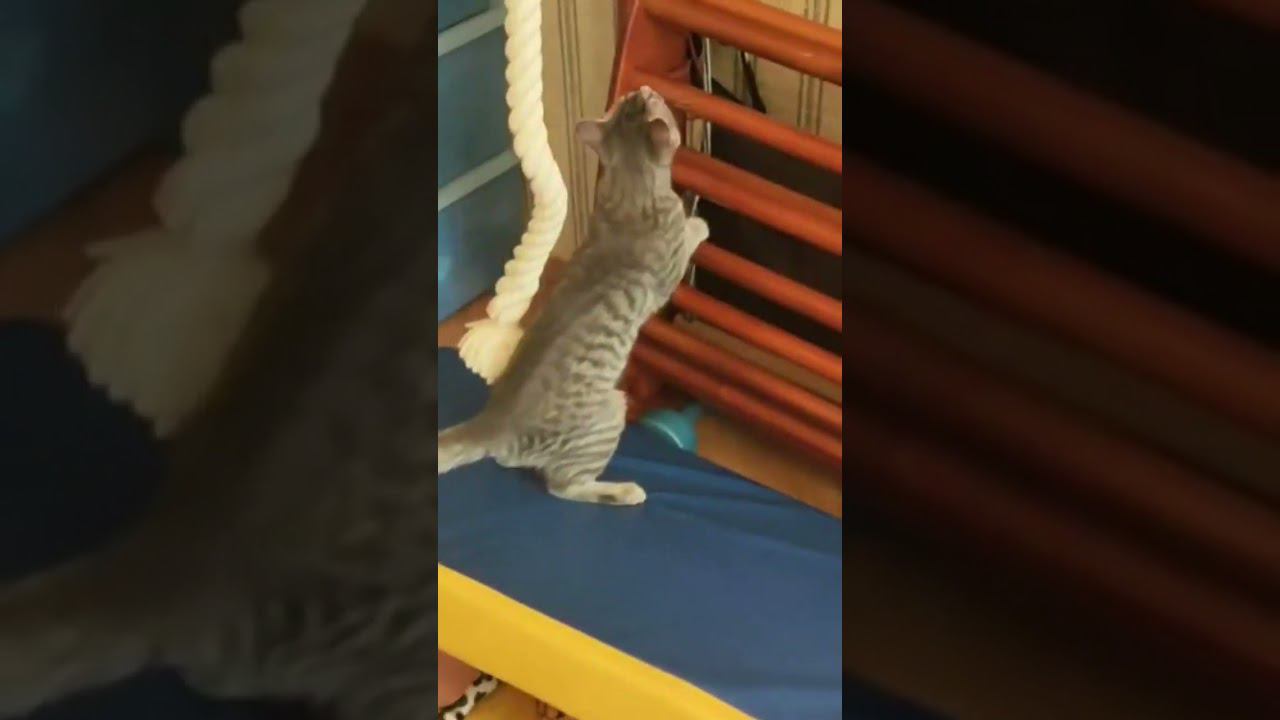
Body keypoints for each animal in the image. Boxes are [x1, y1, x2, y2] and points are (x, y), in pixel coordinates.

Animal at [437, 86, 709, 506]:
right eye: (650, 99)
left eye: (635, 98)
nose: (645, 89)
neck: (629, 190)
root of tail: (492, 424)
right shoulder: (669, 273)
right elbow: (689, 233)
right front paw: (698, 223)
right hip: (611, 409)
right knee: (563, 486)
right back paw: (624, 491)